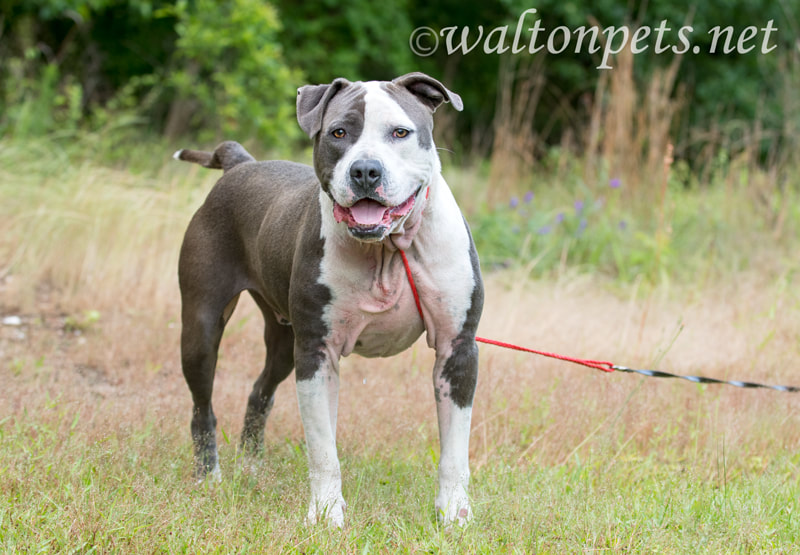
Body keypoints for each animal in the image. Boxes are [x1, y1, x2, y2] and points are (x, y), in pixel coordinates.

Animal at [177, 71, 482, 528]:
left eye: (400, 132)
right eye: (339, 132)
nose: (366, 170)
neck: (387, 250)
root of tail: (242, 164)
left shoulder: (457, 349)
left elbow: (454, 452)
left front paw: (454, 515)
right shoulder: (317, 353)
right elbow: (324, 451)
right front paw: (325, 514)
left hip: (282, 340)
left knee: (260, 390)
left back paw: (251, 467)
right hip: (202, 325)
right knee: (203, 406)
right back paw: (209, 477)